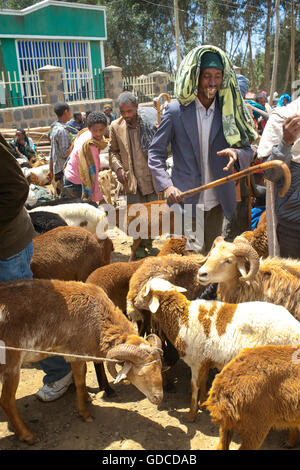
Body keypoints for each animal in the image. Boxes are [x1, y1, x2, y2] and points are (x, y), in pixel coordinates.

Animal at [134, 280, 300, 422]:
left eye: (145, 291)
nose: (134, 301)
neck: (181, 318)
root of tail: (295, 328)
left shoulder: (196, 361)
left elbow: (194, 385)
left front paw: (191, 414)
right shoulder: (205, 360)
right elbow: (203, 381)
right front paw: (202, 403)